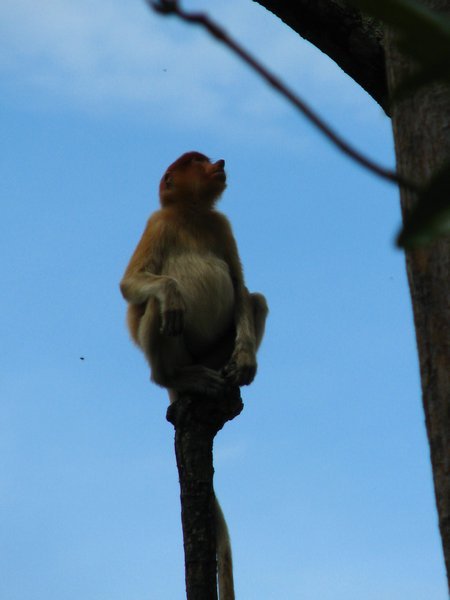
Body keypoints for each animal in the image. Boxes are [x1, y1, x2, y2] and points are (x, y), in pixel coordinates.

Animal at [119, 151, 268, 600]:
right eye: (194, 162)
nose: (218, 162)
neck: (192, 214)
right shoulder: (158, 223)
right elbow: (132, 286)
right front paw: (170, 293)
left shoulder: (222, 226)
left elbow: (240, 288)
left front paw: (246, 363)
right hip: (173, 353)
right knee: (158, 310)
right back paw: (180, 377)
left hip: (215, 350)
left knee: (257, 300)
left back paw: (226, 373)